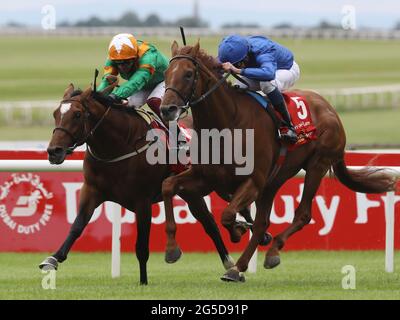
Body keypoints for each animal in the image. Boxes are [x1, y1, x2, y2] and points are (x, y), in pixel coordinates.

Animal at [39, 82, 260, 284]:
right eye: (55, 113)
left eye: (77, 114)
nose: (54, 151)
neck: (119, 145)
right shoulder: (92, 190)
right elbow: (77, 226)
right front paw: (53, 259)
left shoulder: (142, 200)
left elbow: (142, 245)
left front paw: (143, 281)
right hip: (190, 191)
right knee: (210, 223)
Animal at [159, 40, 396, 282]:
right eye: (166, 73)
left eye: (188, 74)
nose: (166, 109)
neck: (228, 122)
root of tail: (329, 108)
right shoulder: (208, 178)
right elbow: (168, 186)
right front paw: (171, 249)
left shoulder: (253, 181)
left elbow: (227, 215)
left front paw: (238, 231)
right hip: (274, 180)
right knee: (262, 222)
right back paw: (243, 263)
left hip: (316, 165)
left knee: (302, 214)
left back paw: (264, 255)